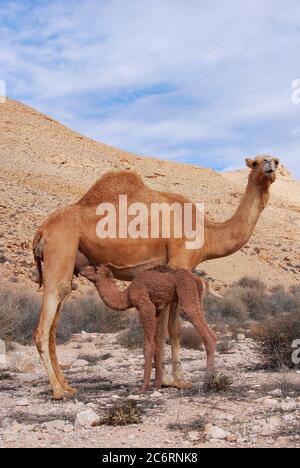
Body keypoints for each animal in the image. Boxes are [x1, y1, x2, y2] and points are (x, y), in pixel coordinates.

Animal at [79, 266, 216, 392]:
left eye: (95, 269)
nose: (82, 269)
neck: (127, 295)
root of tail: (196, 279)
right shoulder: (158, 310)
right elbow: (158, 344)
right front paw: (157, 384)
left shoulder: (145, 306)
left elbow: (147, 345)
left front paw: (143, 387)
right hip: (187, 296)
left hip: (185, 289)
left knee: (203, 330)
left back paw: (207, 381)